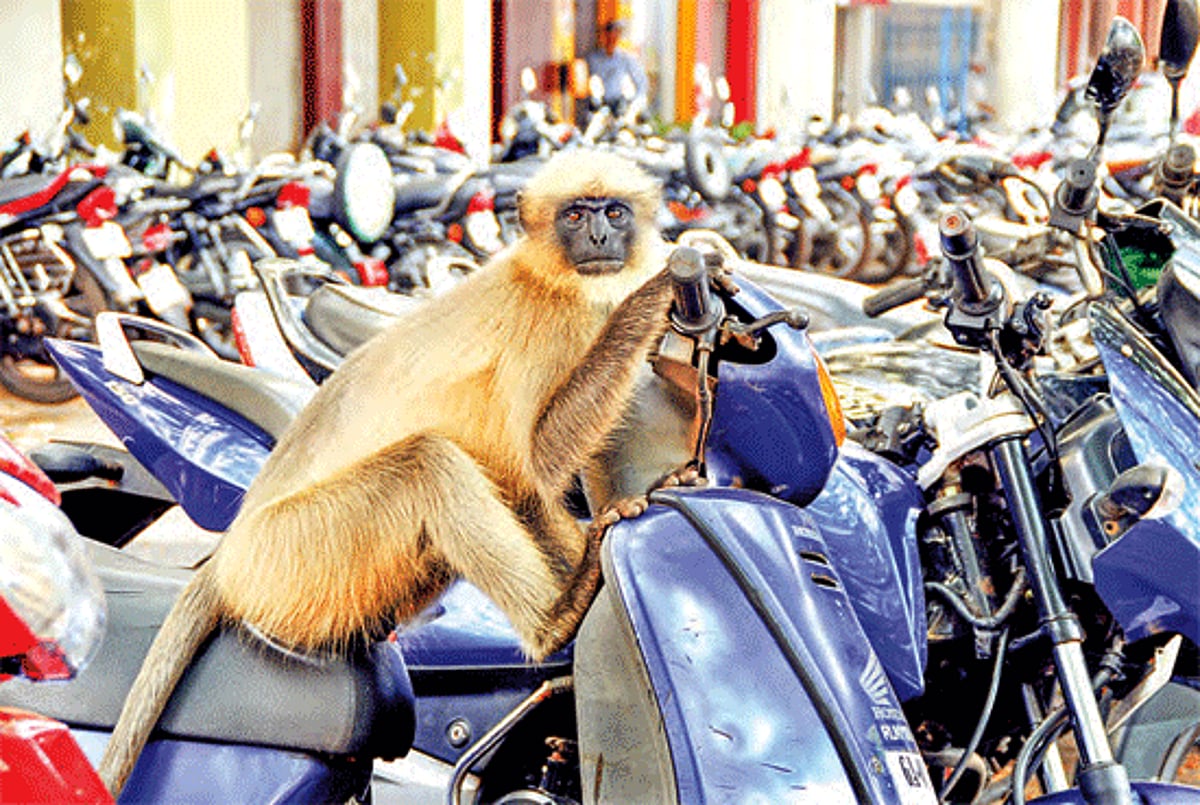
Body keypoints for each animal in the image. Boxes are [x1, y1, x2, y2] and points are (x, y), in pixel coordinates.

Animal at [97, 148, 677, 797]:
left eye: (613, 211)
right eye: (576, 215)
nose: (599, 235)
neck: (545, 275)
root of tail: (228, 559)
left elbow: (520, 487)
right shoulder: (554, 323)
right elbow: (533, 463)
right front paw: (650, 301)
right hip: (294, 551)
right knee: (429, 463)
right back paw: (555, 621)